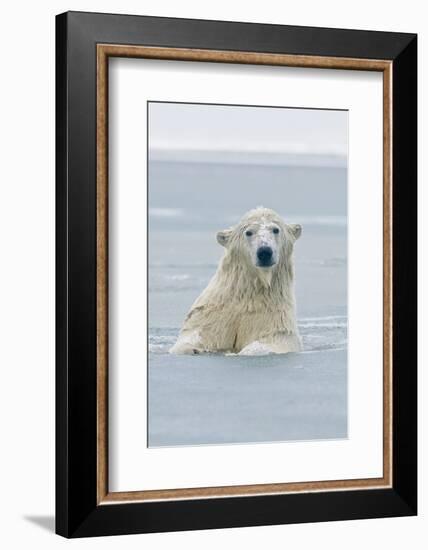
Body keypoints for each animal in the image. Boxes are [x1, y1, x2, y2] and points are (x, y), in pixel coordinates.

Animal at [168, 208, 300, 358]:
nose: (265, 252)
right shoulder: (214, 313)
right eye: (248, 232)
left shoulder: (274, 316)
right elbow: (197, 333)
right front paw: (193, 349)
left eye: (275, 229)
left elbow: (274, 339)